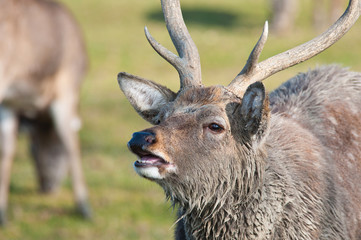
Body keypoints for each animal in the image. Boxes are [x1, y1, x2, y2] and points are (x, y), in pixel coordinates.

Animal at [0, 0, 90, 225]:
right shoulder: (67, 87)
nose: (46, 187)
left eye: (31, 149)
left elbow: (7, 149)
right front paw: (84, 207)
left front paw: (2, 214)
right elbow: (72, 142)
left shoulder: (8, 104)